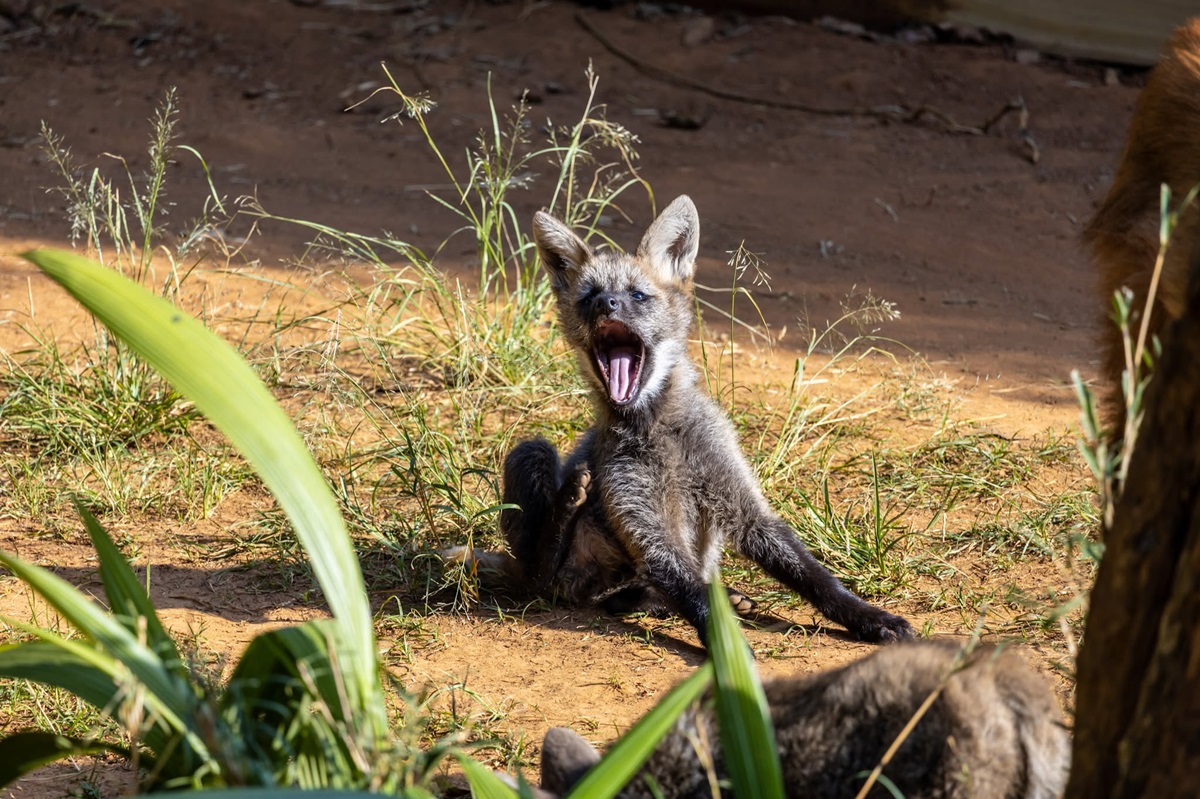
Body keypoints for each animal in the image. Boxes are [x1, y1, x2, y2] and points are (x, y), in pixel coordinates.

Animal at [447, 195, 912, 647]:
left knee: (625, 595)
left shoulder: (744, 506)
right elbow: (692, 594)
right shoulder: (644, 521)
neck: (662, 434)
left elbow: (818, 580)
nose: (604, 304)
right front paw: (731, 655)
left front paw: (869, 618)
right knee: (542, 577)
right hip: (534, 457)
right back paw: (568, 510)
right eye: (588, 296)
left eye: (636, 296)